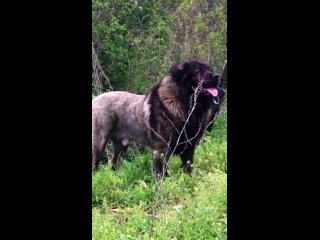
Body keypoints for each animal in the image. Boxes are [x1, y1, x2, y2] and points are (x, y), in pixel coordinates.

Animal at [91, 60, 224, 178]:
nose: (217, 76)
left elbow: (188, 169)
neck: (185, 103)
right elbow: (160, 175)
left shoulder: (189, 148)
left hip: (120, 147)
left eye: (210, 69)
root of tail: (95, 100)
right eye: (198, 71)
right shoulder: (161, 149)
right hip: (99, 144)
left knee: (112, 164)